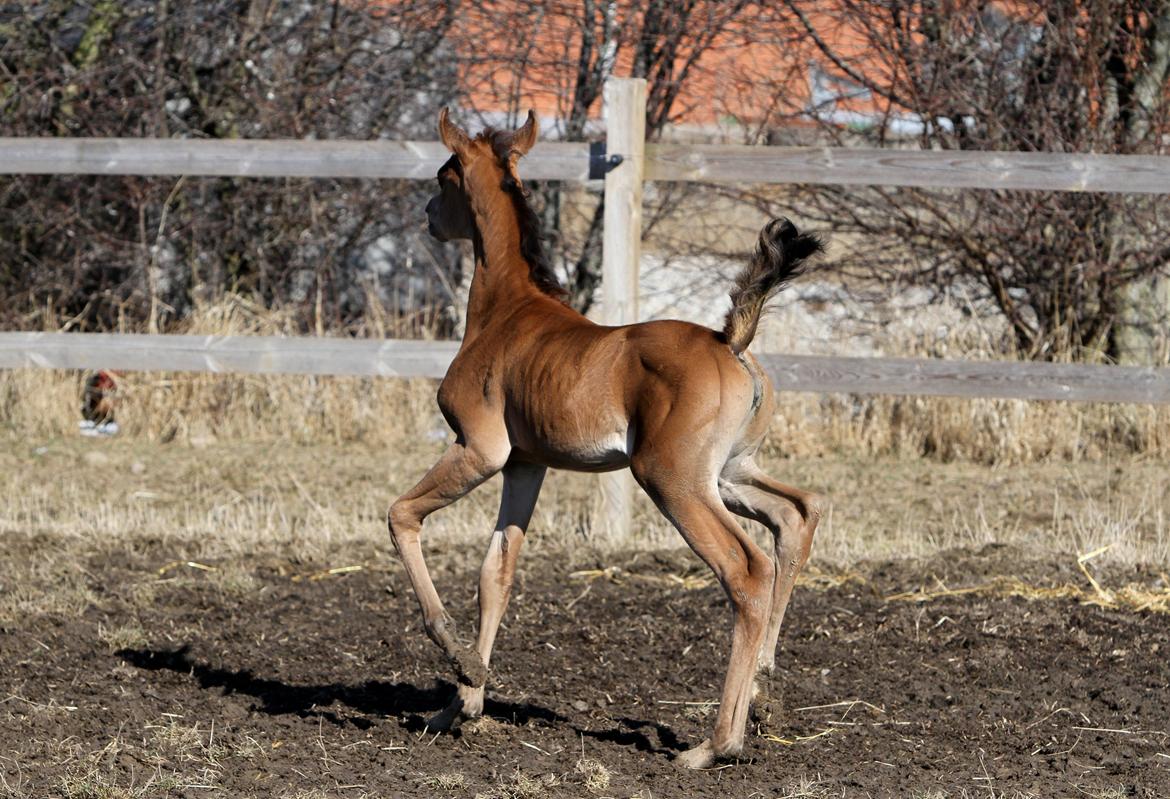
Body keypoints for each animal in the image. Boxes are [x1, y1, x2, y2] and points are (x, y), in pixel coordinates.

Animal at [388, 107, 828, 767]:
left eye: (444, 176)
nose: (427, 216)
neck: (506, 312)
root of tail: (730, 341)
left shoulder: (479, 449)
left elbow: (402, 516)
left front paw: (459, 663)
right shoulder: (525, 465)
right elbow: (496, 574)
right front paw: (460, 705)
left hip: (672, 479)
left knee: (746, 568)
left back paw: (715, 744)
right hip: (730, 473)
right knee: (797, 513)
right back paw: (764, 689)